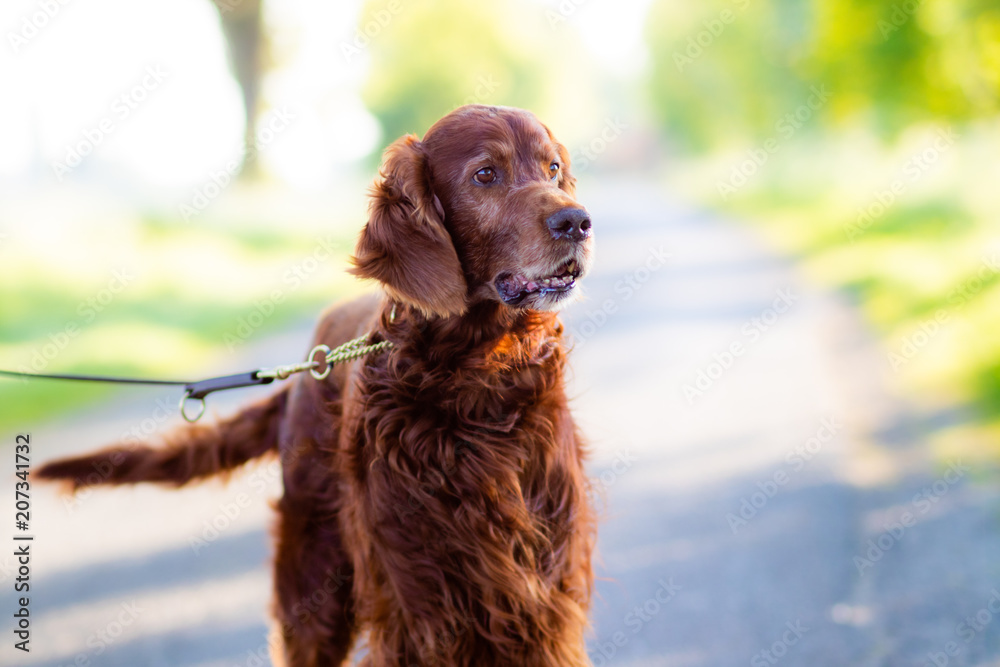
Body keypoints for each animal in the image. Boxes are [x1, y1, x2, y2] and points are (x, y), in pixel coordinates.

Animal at [39, 107, 596, 664]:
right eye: (485, 174)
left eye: (551, 168)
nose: (577, 222)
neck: (477, 374)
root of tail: (308, 369)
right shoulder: (419, 601)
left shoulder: (544, 597)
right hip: (316, 574)